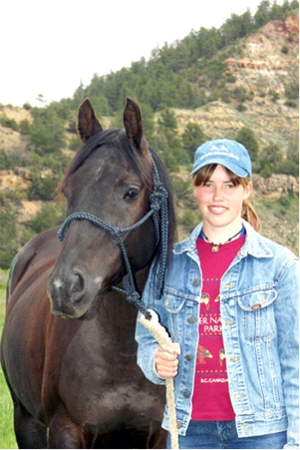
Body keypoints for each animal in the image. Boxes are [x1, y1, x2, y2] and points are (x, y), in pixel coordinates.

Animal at [0, 97, 176, 446]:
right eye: (68, 191)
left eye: (131, 191)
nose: (65, 289)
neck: (124, 354)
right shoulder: (66, 428)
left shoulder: (161, 434)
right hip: (25, 419)